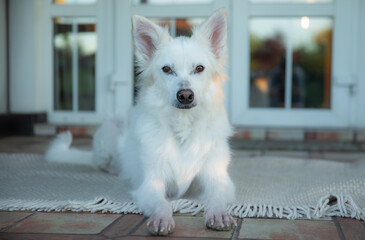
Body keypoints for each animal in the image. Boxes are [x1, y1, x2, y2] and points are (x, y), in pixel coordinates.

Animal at [45, 8, 235, 234]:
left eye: (199, 68)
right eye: (167, 69)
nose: (185, 96)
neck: (181, 128)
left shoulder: (218, 178)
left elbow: (217, 197)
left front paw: (219, 213)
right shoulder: (151, 184)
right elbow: (162, 203)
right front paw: (161, 218)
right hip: (111, 130)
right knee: (101, 163)